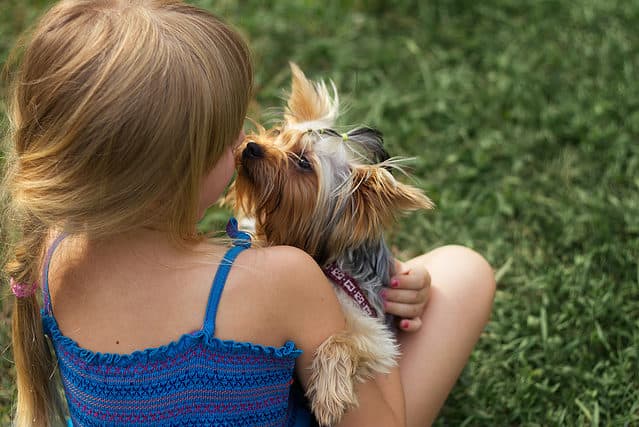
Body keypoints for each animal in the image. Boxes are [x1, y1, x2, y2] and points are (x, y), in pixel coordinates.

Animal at [228, 62, 432, 424]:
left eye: (303, 163)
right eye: (279, 133)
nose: (252, 147)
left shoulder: (376, 335)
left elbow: (345, 340)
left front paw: (329, 393)